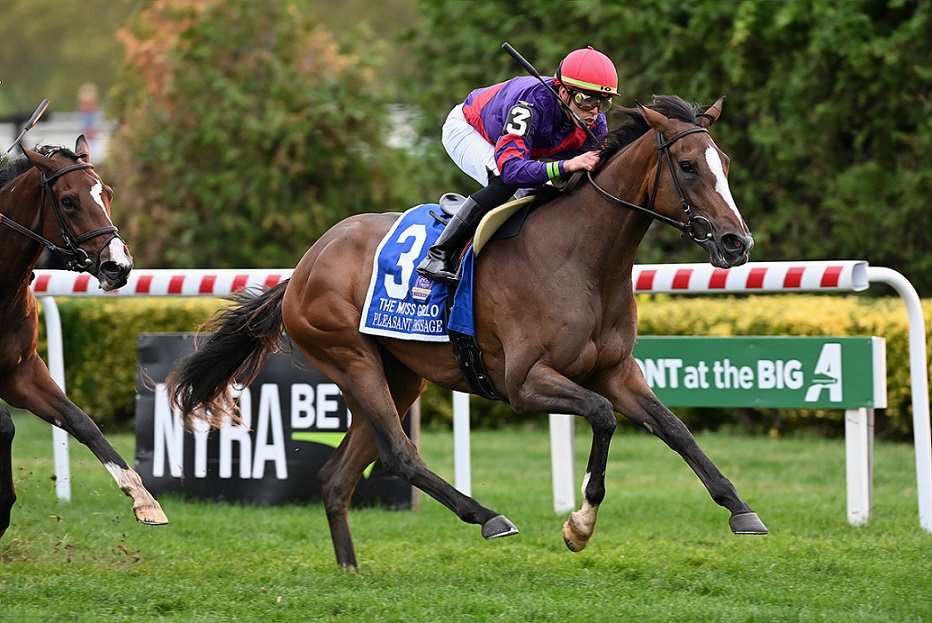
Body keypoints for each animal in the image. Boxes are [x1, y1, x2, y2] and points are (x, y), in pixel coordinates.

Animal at [0, 136, 168, 540]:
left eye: (107, 193)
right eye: (68, 201)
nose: (118, 266)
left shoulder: (20, 373)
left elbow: (82, 423)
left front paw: (144, 499)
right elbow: (7, 425)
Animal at [167, 95, 767, 570]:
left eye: (724, 163)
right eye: (687, 166)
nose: (737, 242)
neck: (584, 259)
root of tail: (302, 267)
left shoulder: (616, 371)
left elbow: (675, 430)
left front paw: (740, 509)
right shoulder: (525, 382)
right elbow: (601, 415)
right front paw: (579, 524)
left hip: (399, 375)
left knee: (337, 476)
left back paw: (350, 570)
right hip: (350, 357)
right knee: (399, 455)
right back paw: (487, 516)